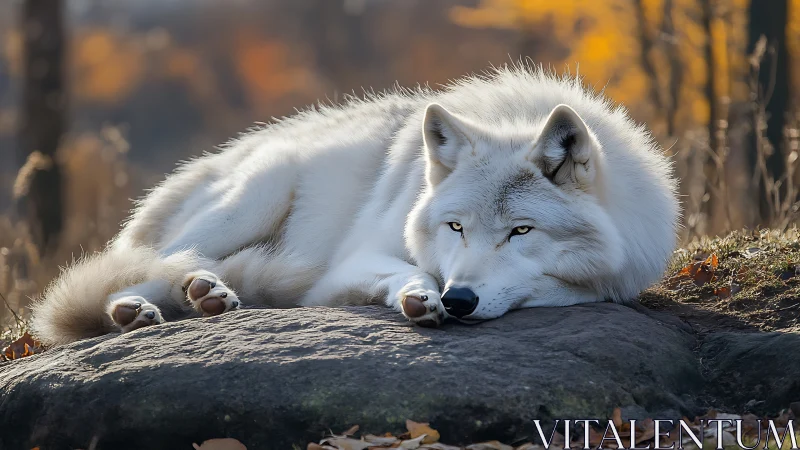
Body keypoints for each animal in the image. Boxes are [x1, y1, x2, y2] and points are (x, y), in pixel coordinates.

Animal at [30, 65, 679, 345]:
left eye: (520, 232)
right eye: (455, 227)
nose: (459, 300)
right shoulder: (351, 262)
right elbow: (413, 271)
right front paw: (420, 297)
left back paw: (206, 295)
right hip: (255, 196)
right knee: (145, 267)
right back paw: (144, 306)